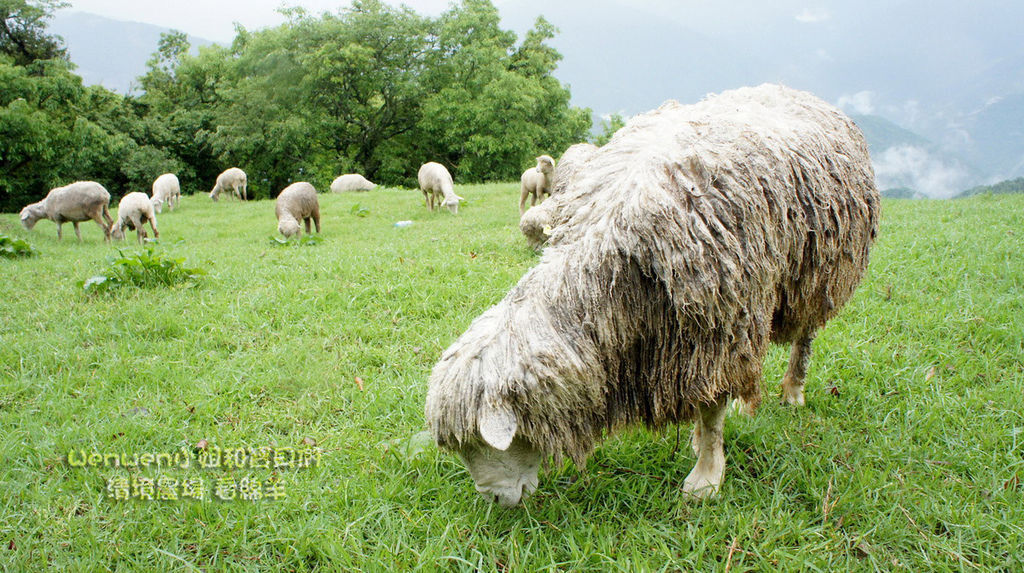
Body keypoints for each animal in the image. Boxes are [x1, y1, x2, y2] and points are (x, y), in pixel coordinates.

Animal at [423, 83, 880, 505]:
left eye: (479, 444)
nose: (494, 500)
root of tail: (792, 89)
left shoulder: (714, 325)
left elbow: (711, 411)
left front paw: (706, 479)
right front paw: (702, 446)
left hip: (821, 270)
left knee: (805, 335)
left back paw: (793, 391)